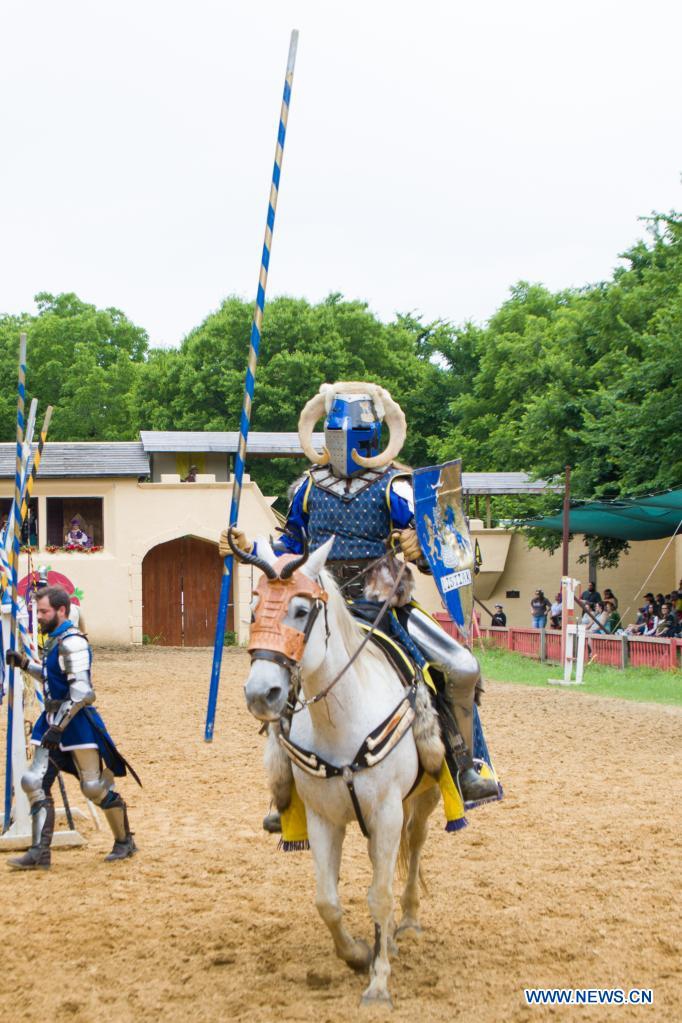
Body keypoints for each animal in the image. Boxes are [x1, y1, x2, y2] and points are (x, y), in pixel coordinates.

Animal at [237, 536, 445, 1006]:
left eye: (300, 610)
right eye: (254, 611)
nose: (261, 693)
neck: (342, 719)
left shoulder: (386, 813)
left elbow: (380, 896)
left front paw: (378, 983)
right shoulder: (323, 818)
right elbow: (327, 901)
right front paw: (357, 954)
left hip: (423, 799)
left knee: (416, 846)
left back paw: (408, 922)